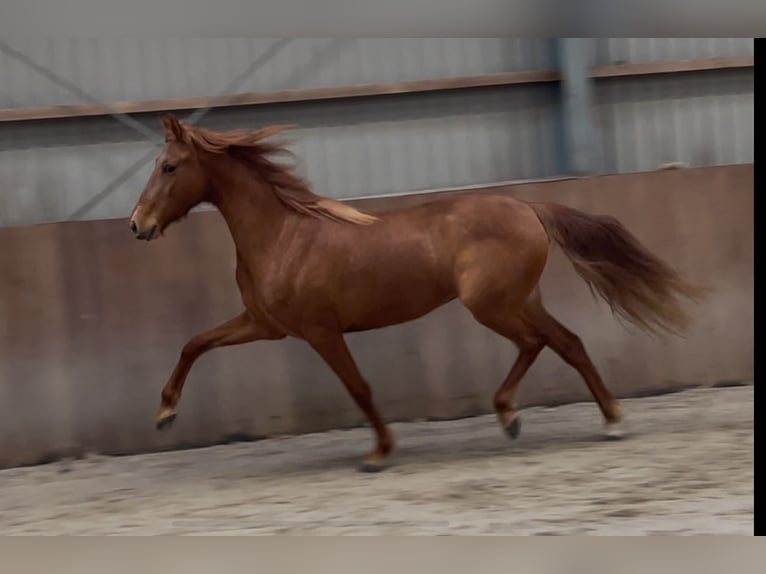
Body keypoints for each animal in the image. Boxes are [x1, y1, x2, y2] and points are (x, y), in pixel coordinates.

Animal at [129, 116, 704, 472]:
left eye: (169, 167)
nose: (138, 225)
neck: (284, 235)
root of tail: (528, 207)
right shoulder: (265, 325)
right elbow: (194, 343)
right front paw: (164, 414)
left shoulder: (320, 331)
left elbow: (359, 388)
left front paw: (379, 454)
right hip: (520, 300)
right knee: (568, 343)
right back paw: (604, 421)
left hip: (491, 306)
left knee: (537, 343)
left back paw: (517, 415)